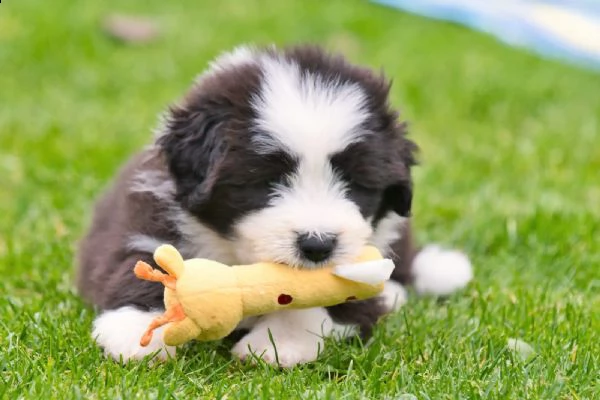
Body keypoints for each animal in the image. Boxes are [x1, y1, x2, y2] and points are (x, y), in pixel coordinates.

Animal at [76, 45, 474, 368]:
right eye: (266, 182)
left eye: (355, 184)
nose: (317, 245)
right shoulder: (145, 219)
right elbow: (143, 267)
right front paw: (134, 330)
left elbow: (326, 302)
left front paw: (279, 343)